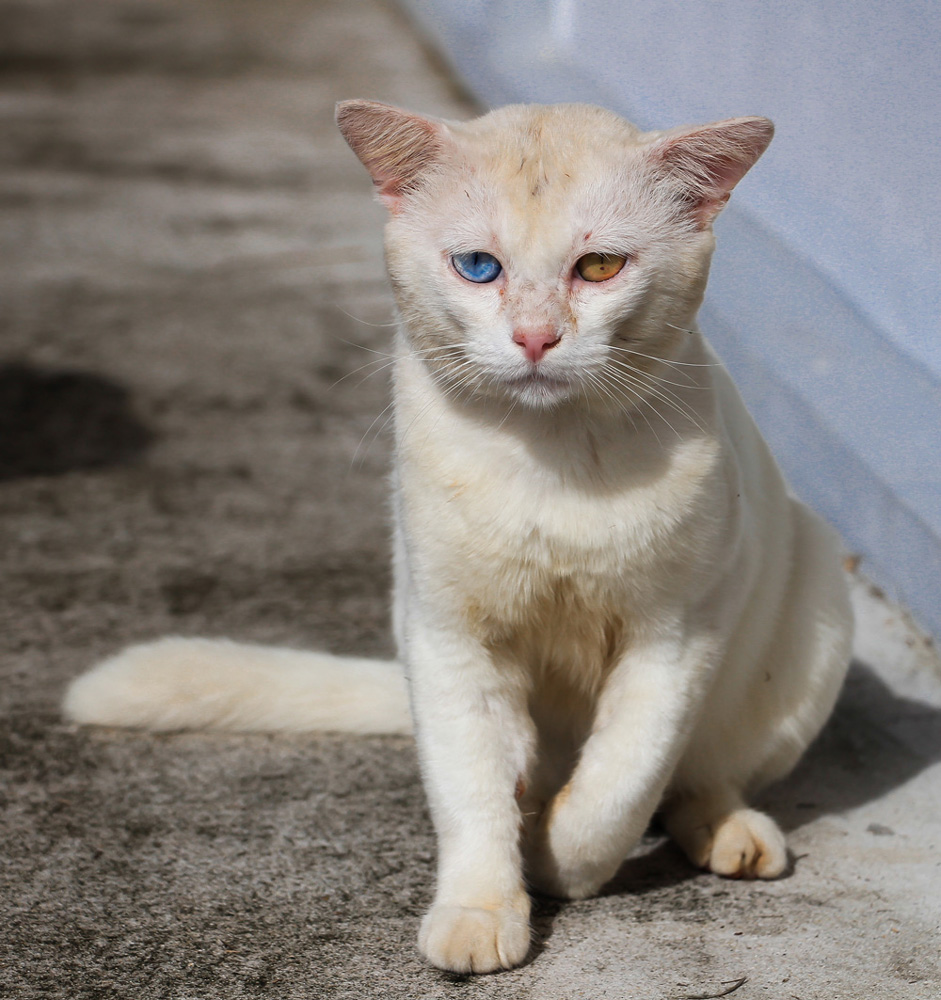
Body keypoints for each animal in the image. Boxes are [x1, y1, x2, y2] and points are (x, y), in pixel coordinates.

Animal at [60, 99, 852, 968]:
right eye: (478, 267)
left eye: (599, 267)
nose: (535, 337)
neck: (551, 463)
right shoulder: (445, 636)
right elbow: (472, 786)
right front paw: (481, 907)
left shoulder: (675, 638)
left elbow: (619, 784)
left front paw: (555, 860)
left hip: (816, 603)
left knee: (696, 776)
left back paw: (724, 829)